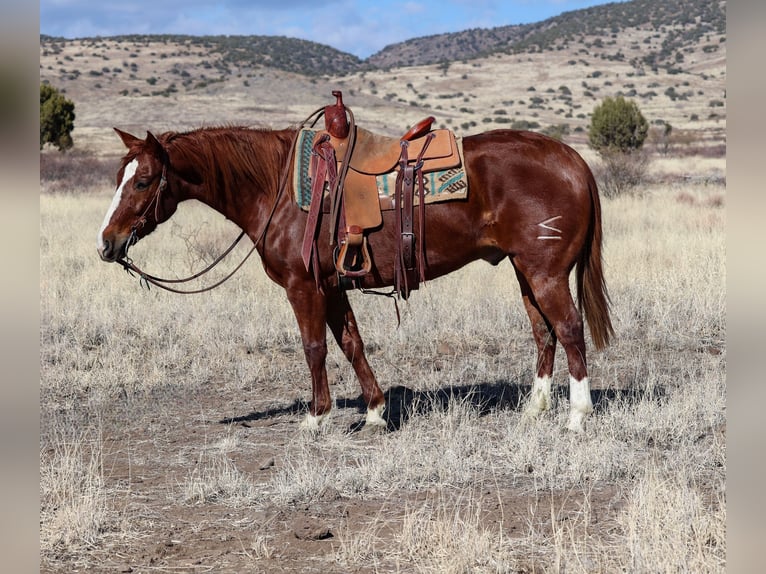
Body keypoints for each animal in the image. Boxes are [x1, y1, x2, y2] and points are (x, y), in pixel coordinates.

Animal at [97, 124, 612, 434]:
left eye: (142, 181)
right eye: (118, 178)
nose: (106, 244)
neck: (276, 188)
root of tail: (573, 160)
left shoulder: (303, 287)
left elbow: (314, 348)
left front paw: (315, 417)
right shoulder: (332, 287)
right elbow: (352, 343)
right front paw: (375, 411)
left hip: (546, 274)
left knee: (569, 330)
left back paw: (577, 415)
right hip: (525, 273)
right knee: (544, 333)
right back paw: (535, 408)